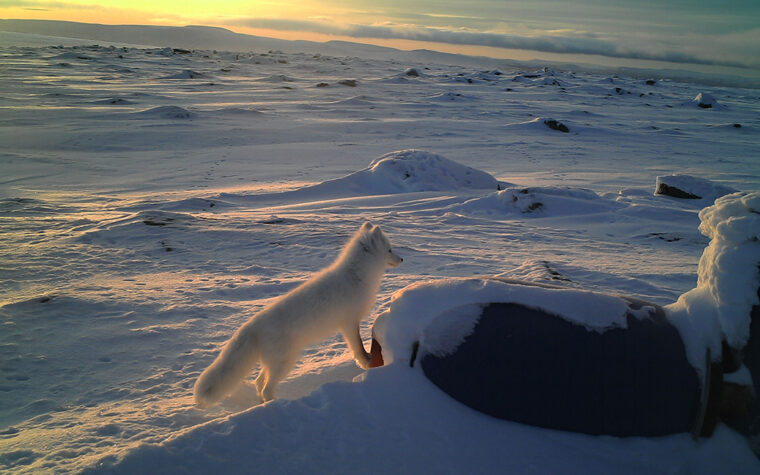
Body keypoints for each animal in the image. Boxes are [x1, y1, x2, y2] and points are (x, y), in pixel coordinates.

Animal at [193, 221, 400, 408]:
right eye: (390, 250)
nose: (402, 259)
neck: (356, 276)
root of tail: (252, 324)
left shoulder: (347, 323)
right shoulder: (349, 322)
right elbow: (357, 345)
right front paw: (366, 361)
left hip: (275, 362)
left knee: (258, 383)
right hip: (284, 362)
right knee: (266, 388)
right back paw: (275, 404)